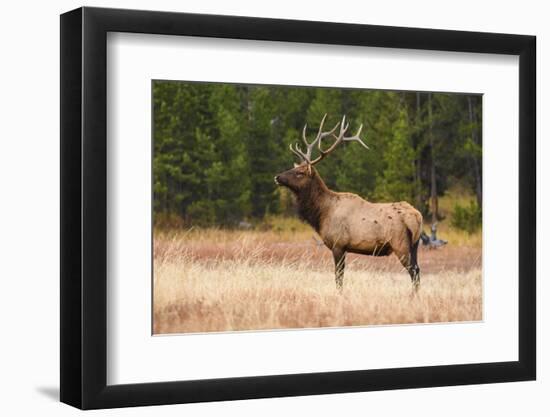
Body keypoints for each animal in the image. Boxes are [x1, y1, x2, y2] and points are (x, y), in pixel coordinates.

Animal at [274, 114, 422, 290]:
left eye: (300, 173)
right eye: (294, 168)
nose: (277, 177)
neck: (321, 214)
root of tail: (417, 217)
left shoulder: (338, 244)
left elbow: (339, 277)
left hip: (400, 244)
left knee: (413, 272)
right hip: (415, 245)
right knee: (418, 270)